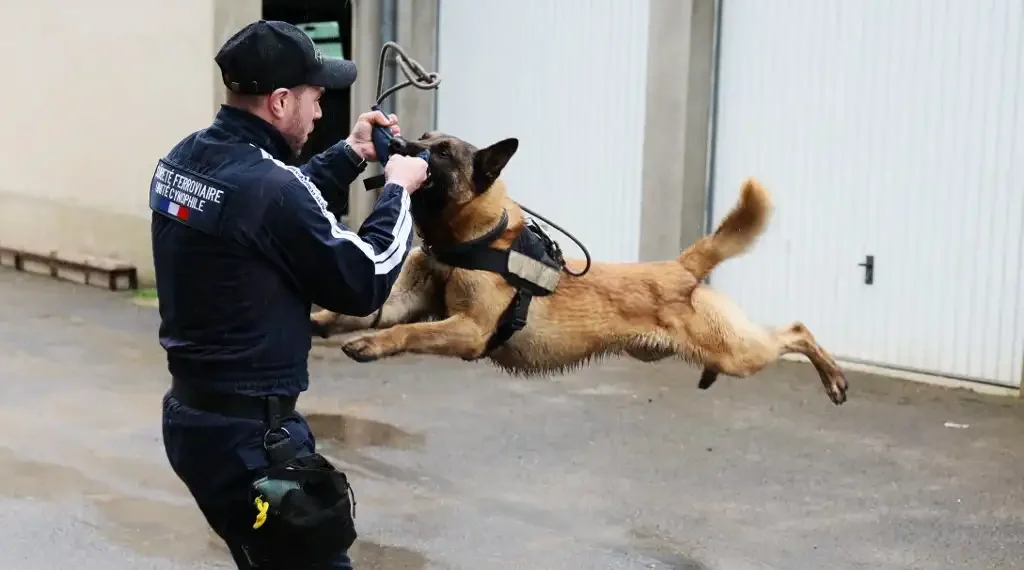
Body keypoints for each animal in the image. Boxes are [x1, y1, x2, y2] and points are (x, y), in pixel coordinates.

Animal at [309, 130, 847, 405]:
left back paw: (834, 378)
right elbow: (359, 313)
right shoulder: (402, 303)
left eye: (440, 152)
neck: (472, 238)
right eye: (420, 139)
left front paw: (370, 345)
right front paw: (317, 321)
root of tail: (680, 266)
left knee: (795, 331)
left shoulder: (469, 330)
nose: (399, 147)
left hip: (737, 352)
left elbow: (407, 332)